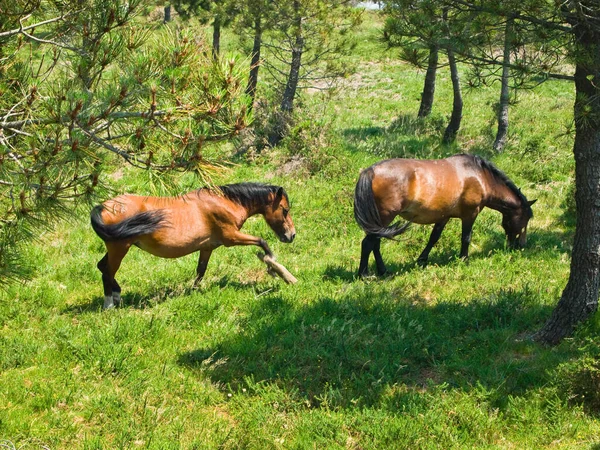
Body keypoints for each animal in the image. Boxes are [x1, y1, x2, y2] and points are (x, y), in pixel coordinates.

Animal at [91, 181, 296, 308]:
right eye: (285, 210)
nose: (292, 235)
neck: (224, 202)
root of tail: (103, 207)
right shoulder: (231, 238)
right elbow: (262, 242)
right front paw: (276, 269)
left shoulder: (207, 247)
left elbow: (200, 271)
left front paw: (194, 291)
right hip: (120, 248)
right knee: (107, 272)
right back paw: (109, 304)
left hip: (116, 248)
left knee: (102, 266)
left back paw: (117, 295)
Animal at [352, 153, 536, 276]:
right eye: (525, 218)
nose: (520, 245)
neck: (480, 177)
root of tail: (371, 171)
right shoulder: (470, 214)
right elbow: (466, 238)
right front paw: (464, 259)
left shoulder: (444, 217)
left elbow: (433, 238)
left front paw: (422, 260)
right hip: (384, 217)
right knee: (368, 243)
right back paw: (364, 274)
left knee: (375, 243)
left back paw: (383, 271)